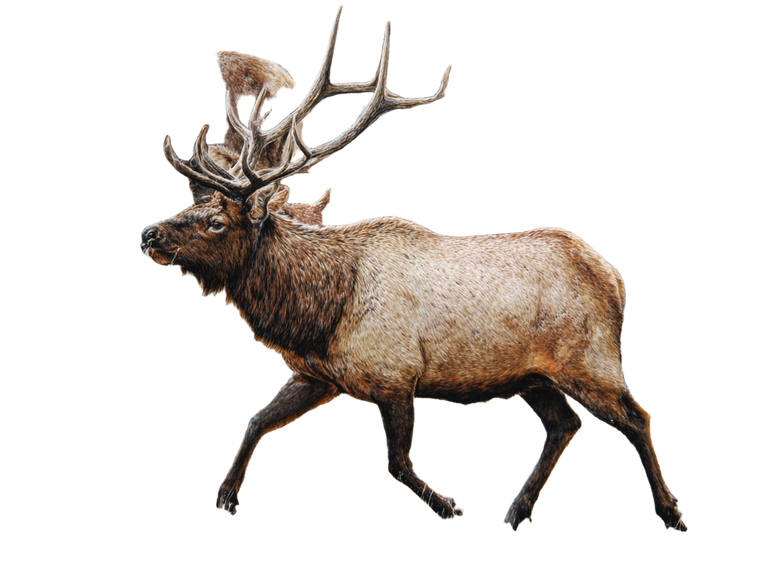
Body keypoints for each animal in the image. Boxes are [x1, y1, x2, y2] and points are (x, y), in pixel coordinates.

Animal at [138, 3, 689, 534]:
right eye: (189, 207)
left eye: (215, 222)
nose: (148, 234)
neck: (317, 313)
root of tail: (615, 279)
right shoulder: (319, 376)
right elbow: (255, 419)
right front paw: (226, 497)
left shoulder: (396, 375)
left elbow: (397, 462)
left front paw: (449, 506)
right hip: (533, 376)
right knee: (564, 425)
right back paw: (517, 511)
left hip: (589, 358)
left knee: (636, 417)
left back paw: (669, 512)